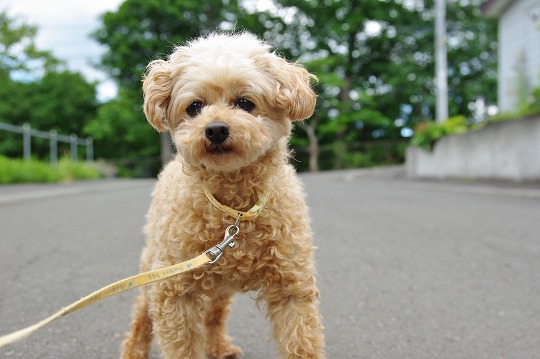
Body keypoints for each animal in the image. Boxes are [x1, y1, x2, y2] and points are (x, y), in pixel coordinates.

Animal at [119, 32, 324, 358]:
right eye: (194, 107)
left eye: (245, 103)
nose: (215, 129)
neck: (235, 208)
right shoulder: (174, 292)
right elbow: (181, 347)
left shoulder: (292, 284)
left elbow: (301, 342)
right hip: (153, 268)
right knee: (141, 316)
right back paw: (133, 351)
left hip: (219, 284)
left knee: (214, 314)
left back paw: (218, 346)